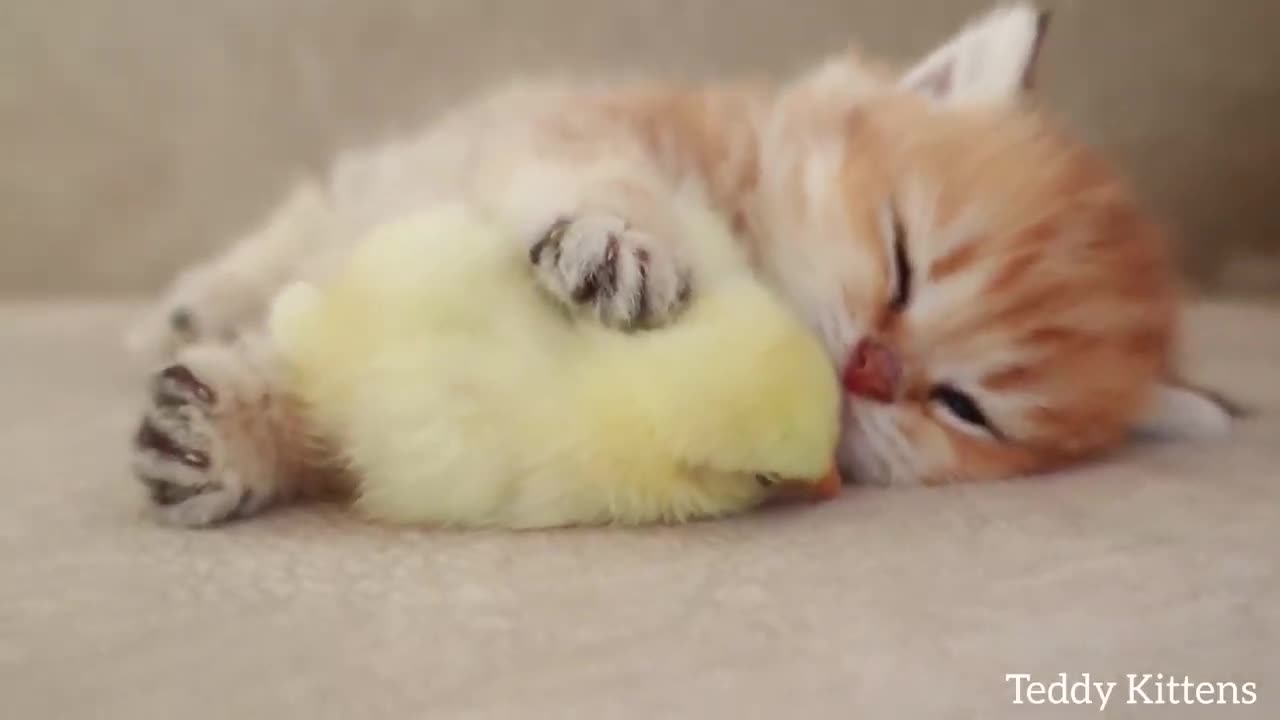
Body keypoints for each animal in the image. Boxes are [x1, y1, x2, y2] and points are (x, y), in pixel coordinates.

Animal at [129, 2, 1228, 525]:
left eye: (964, 408)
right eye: (902, 258)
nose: (870, 370)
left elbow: (338, 393)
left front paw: (231, 440)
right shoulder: (574, 130)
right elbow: (606, 180)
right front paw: (622, 243)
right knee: (289, 227)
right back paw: (188, 305)